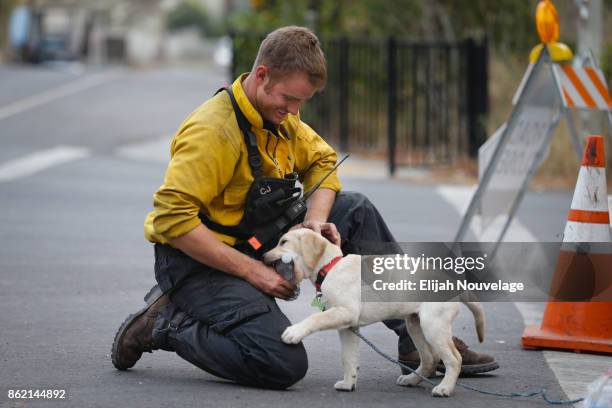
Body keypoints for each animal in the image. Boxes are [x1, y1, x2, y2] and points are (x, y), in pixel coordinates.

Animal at [262, 228, 482, 396]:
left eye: (283, 242)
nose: (263, 257)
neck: (330, 267)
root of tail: (455, 283)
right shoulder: (349, 327)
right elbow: (349, 358)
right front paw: (348, 383)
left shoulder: (344, 312)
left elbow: (315, 318)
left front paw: (294, 332)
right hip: (415, 324)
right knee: (430, 359)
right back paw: (411, 380)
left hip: (433, 325)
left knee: (454, 359)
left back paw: (445, 388)